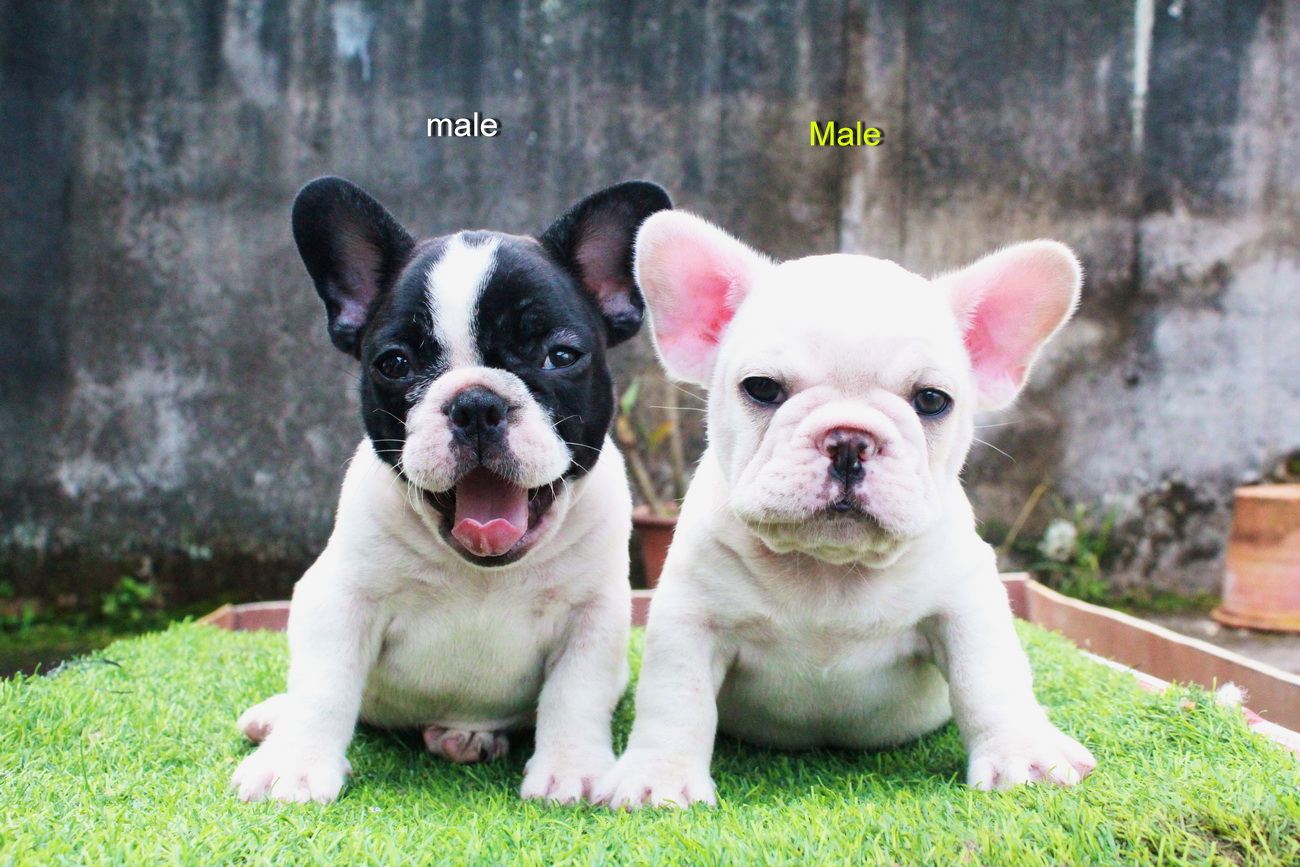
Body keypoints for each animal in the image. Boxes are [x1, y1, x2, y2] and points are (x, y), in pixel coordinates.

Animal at [231, 177, 671, 804]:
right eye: (394, 363)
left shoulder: (593, 616)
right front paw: (292, 765)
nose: (476, 404)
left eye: (560, 356)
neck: (482, 573)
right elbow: (323, 685)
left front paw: (572, 769)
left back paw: (465, 736)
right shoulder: (339, 600)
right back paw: (273, 717)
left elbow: (576, 693)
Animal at [595, 211, 1097, 809]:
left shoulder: (967, 605)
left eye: (932, 400)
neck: (829, 569)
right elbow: (675, 696)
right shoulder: (690, 616)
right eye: (761, 388)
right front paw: (661, 779)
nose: (850, 441)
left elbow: (991, 679)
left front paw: (1024, 756)